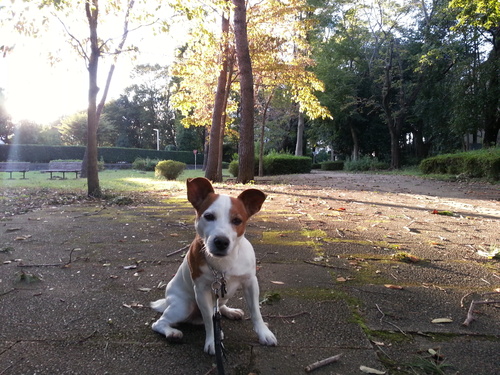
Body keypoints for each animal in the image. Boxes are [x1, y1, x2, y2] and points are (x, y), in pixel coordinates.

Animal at [150, 178, 280, 354]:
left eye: (237, 220)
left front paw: (264, 333)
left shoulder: (251, 282)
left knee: (220, 307)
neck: (224, 263)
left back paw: (230, 312)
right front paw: (213, 342)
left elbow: (256, 312)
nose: (221, 241)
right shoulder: (202, 291)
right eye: (209, 216)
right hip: (184, 305)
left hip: (221, 298)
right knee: (159, 323)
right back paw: (172, 332)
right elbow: (209, 321)